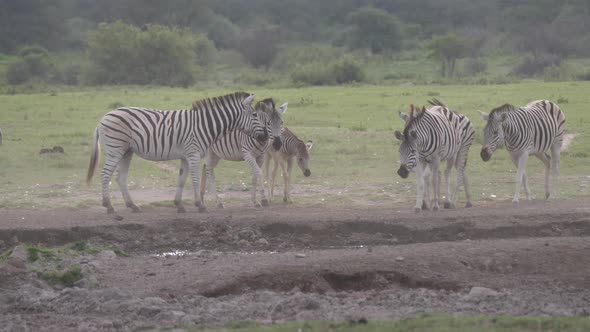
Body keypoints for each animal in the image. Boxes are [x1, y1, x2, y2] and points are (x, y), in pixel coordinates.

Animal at [87, 91, 268, 215]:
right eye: (254, 115)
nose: (265, 137)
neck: (205, 125)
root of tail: (103, 118)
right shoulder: (193, 153)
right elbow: (195, 179)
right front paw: (200, 205)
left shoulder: (185, 156)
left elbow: (181, 180)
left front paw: (179, 205)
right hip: (115, 148)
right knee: (105, 174)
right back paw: (109, 206)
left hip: (127, 151)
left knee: (120, 178)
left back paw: (133, 206)